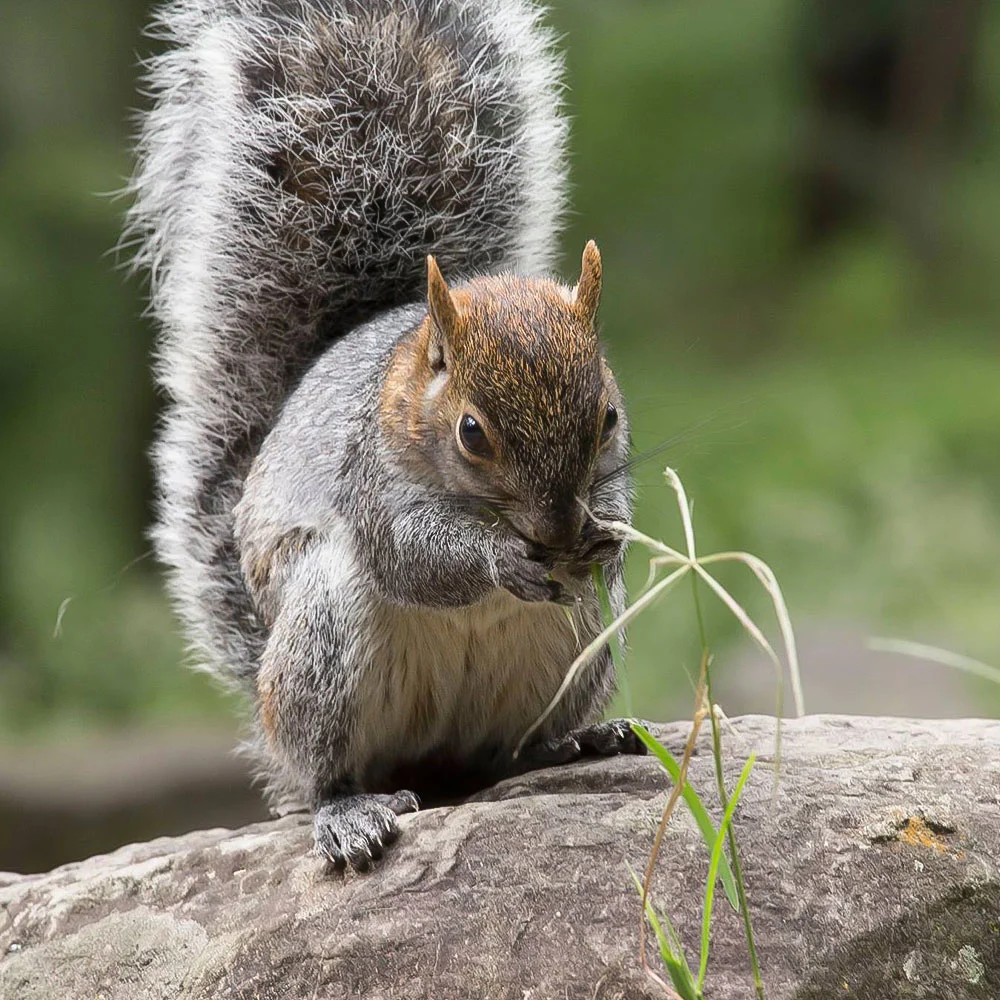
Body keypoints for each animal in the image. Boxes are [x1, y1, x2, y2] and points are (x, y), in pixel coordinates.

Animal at [127, 0, 640, 868]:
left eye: (606, 416)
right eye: (472, 432)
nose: (559, 530)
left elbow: (621, 510)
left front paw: (610, 539)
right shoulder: (368, 480)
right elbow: (410, 553)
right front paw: (500, 560)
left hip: (580, 645)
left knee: (505, 754)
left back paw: (577, 742)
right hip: (321, 644)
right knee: (326, 771)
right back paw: (347, 811)